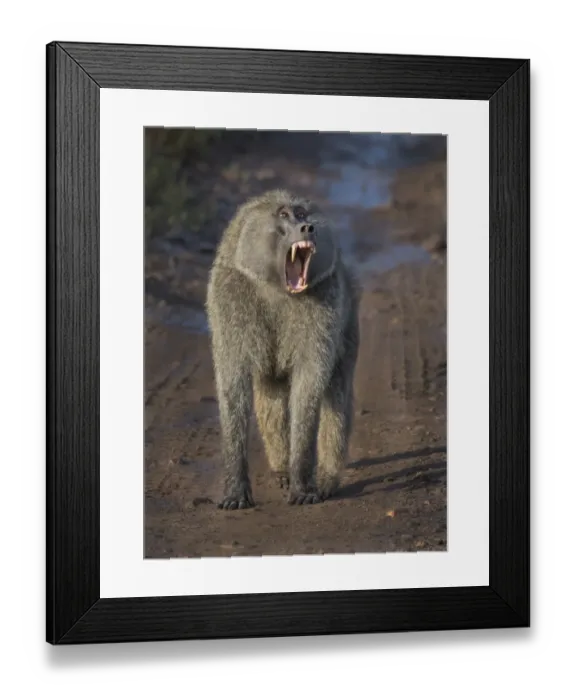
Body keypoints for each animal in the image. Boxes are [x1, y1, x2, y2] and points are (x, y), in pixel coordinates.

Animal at [205, 189, 360, 509]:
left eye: (302, 214)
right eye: (284, 216)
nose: (308, 228)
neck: (276, 288)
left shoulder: (326, 297)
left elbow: (309, 385)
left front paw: (303, 483)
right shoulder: (229, 297)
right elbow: (233, 386)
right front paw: (235, 491)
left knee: (337, 399)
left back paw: (327, 479)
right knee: (271, 396)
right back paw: (281, 470)